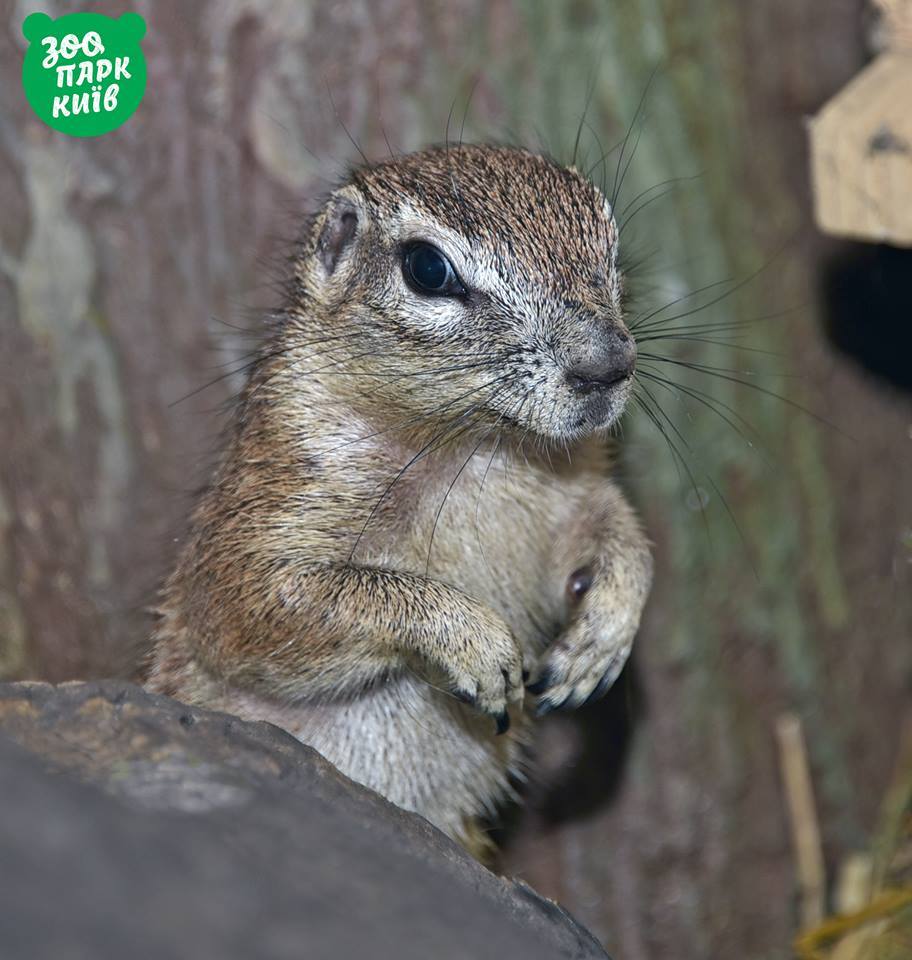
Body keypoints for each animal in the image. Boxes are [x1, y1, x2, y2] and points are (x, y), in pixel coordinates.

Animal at [146, 142, 652, 856]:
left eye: (610, 245)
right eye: (428, 270)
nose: (608, 364)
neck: (482, 448)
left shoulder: (577, 492)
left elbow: (623, 535)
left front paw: (600, 639)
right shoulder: (265, 514)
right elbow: (276, 603)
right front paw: (477, 643)